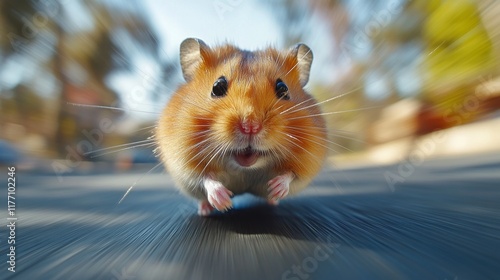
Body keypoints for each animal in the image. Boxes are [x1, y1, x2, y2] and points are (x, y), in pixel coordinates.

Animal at [156, 37, 328, 217]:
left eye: (283, 89)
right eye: (217, 87)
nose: (250, 126)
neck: (245, 167)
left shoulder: (308, 161)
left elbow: (291, 174)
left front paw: (275, 188)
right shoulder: (184, 164)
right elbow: (205, 178)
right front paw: (224, 203)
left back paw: (273, 200)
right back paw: (205, 211)